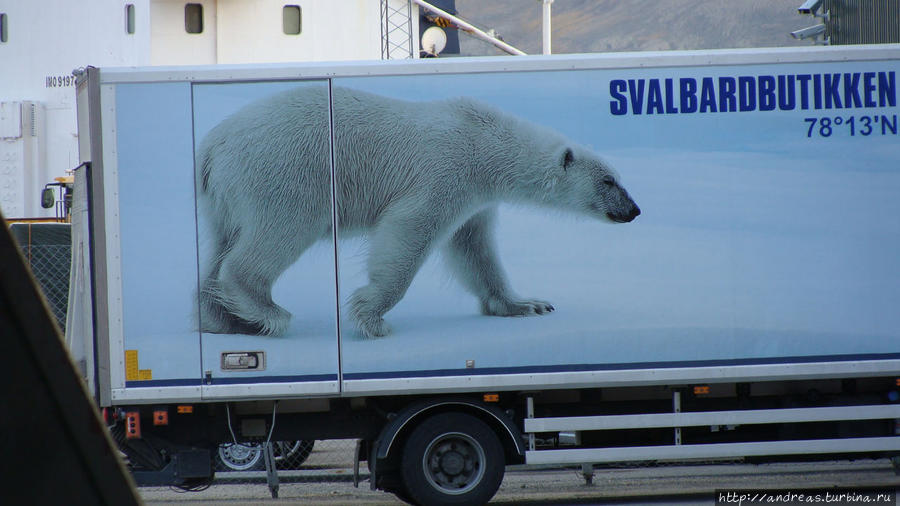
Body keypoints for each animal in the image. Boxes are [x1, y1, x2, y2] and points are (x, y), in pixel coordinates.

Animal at [199, 86, 640, 340]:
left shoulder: (476, 199)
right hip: (289, 170)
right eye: (608, 181)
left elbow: (474, 249)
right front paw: (371, 315)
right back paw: (265, 310)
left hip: (225, 197)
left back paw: (224, 319)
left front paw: (525, 304)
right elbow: (409, 230)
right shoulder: (446, 171)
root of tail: (214, 144)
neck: (486, 141)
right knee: (279, 232)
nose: (634, 210)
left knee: (221, 245)